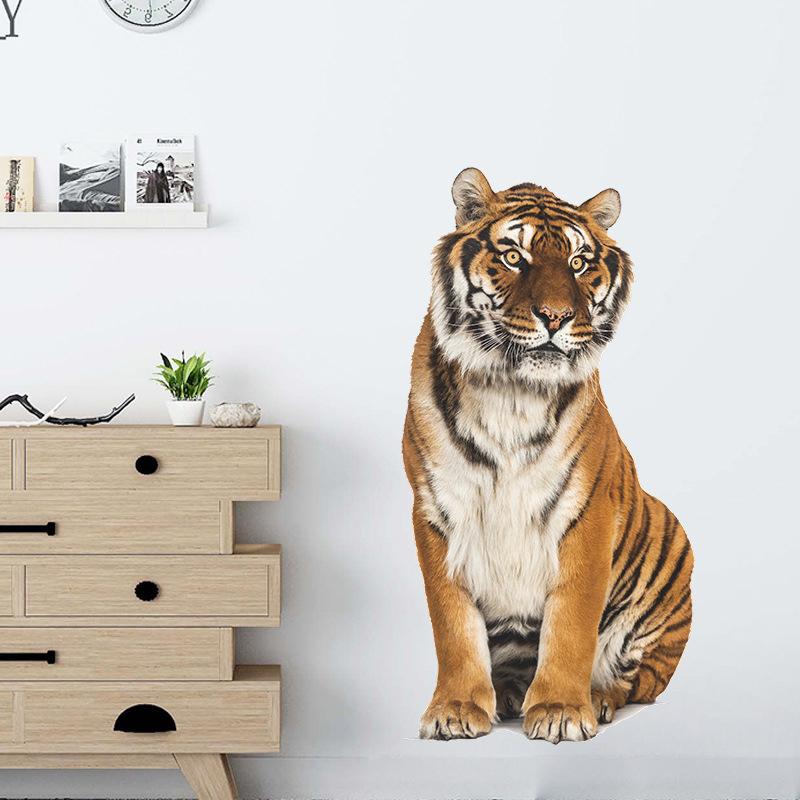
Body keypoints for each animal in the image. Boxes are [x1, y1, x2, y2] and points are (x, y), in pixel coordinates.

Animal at [402, 168, 693, 743]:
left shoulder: (587, 512)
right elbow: (452, 623)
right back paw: (510, 693)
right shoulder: (436, 509)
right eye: (515, 256)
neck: (511, 392)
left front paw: (560, 709)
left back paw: (595, 698)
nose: (556, 318)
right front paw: (455, 709)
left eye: (579, 263)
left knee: (638, 681)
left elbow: (572, 622)